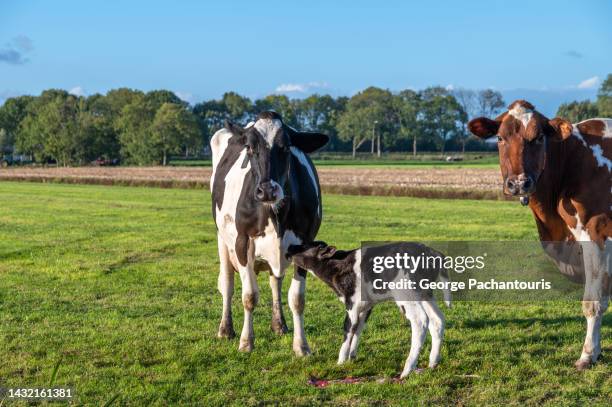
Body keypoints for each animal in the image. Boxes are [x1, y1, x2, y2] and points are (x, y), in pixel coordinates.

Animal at [210, 112, 328, 356]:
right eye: (249, 147)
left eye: (286, 147)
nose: (266, 190)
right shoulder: (242, 242)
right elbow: (249, 296)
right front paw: (246, 342)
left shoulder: (306, 243)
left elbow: (297, 299)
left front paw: (301, 346)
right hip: (222, 240)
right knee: (227, 284)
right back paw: (226, 329)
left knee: (276, 282)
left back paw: (279, 325)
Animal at [286, 241, 450, 378]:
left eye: (304, 246)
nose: (289, 247)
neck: (339, 266)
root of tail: (432, 252)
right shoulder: (366, 306)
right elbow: (358, 329)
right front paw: (352, 356)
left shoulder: (351, 304)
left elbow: (348, 328)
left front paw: (340, 361)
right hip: (425, 293)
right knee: (437, 320)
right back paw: (433, 363)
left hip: (407, 294)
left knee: (420, 321)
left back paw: (407, 370)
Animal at [468, 100, 608, 372]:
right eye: (499, 137)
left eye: (539, 137)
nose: (519, 183)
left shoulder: (597, 234)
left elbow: (593, 302)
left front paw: (588, 354)